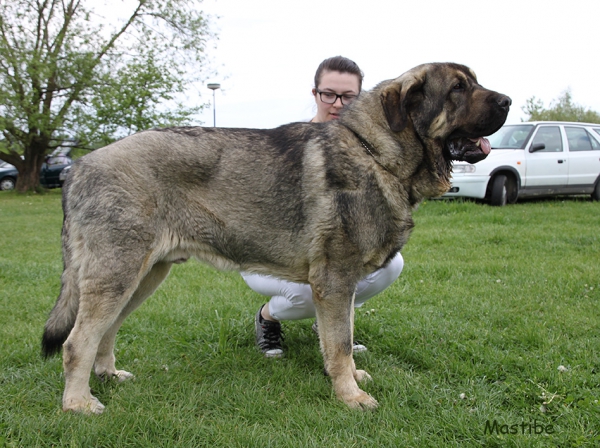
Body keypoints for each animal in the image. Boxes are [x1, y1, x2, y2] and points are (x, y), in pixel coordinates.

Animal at [42, 62, 510, 412]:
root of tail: (78, 167)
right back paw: (78, 403)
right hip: (118, 272)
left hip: (143, 275)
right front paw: (350, 396)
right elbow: (340, 343)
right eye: (458, 88)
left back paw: (106, 376)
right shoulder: (334, 280)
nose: (507, 100)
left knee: (105, 332)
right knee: (77, 341)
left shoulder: (344, 285)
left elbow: (342, 335)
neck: (376, 152)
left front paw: (349, 380)